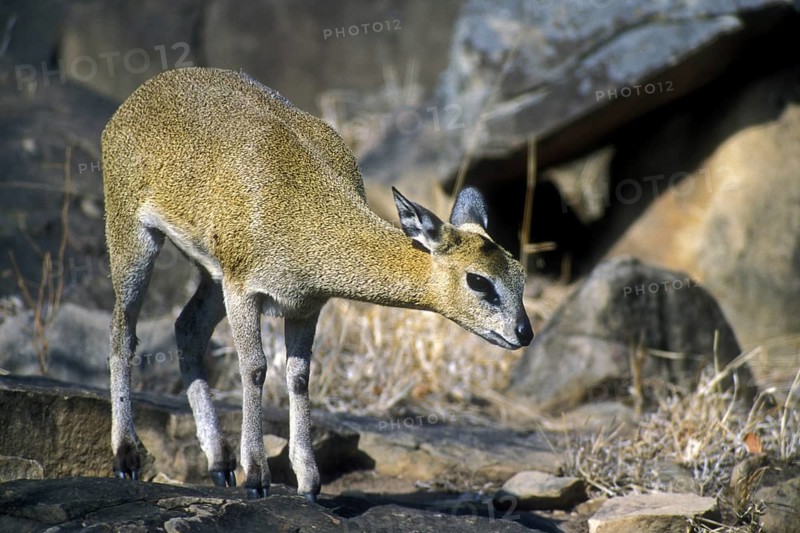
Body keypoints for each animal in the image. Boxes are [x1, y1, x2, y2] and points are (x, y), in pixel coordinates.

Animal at [102, 67, 533, 501]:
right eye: (478, 280)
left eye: (520, 273)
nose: (524, 332)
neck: (305, 211)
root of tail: (142, 93)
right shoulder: (243, 290)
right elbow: (255, 368)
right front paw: (257, 476)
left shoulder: (305, 306)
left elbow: (298, 377)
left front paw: (308, 482)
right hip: (134, 236)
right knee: (123, 332)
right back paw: (126, 457)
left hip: (211, 275)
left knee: (187, 329)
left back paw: (220, 464)